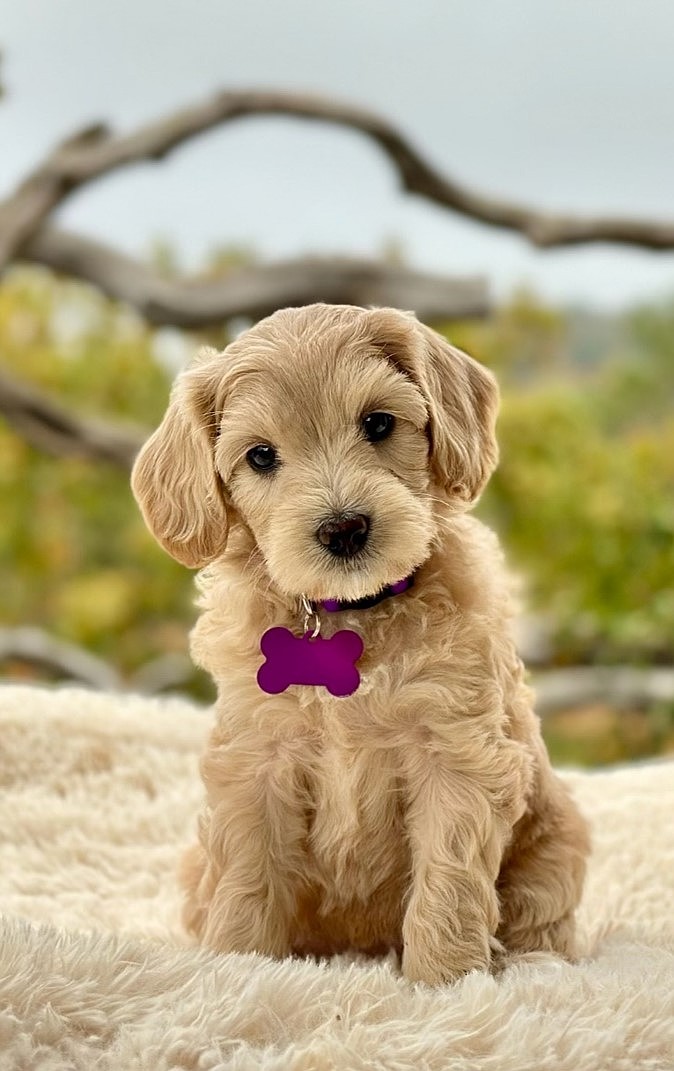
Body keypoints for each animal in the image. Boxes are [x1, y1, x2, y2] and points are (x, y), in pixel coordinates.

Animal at [132, 304, 587, 985]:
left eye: (377, 422)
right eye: (260, 456)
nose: (344, 528)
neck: (349, 616)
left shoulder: (457, 753)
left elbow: (448, 886)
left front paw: (445, 984)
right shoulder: (256, 760)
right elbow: (247, 880)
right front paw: (239, 968)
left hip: (558, 844)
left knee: (541, 920)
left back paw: (534, 963)